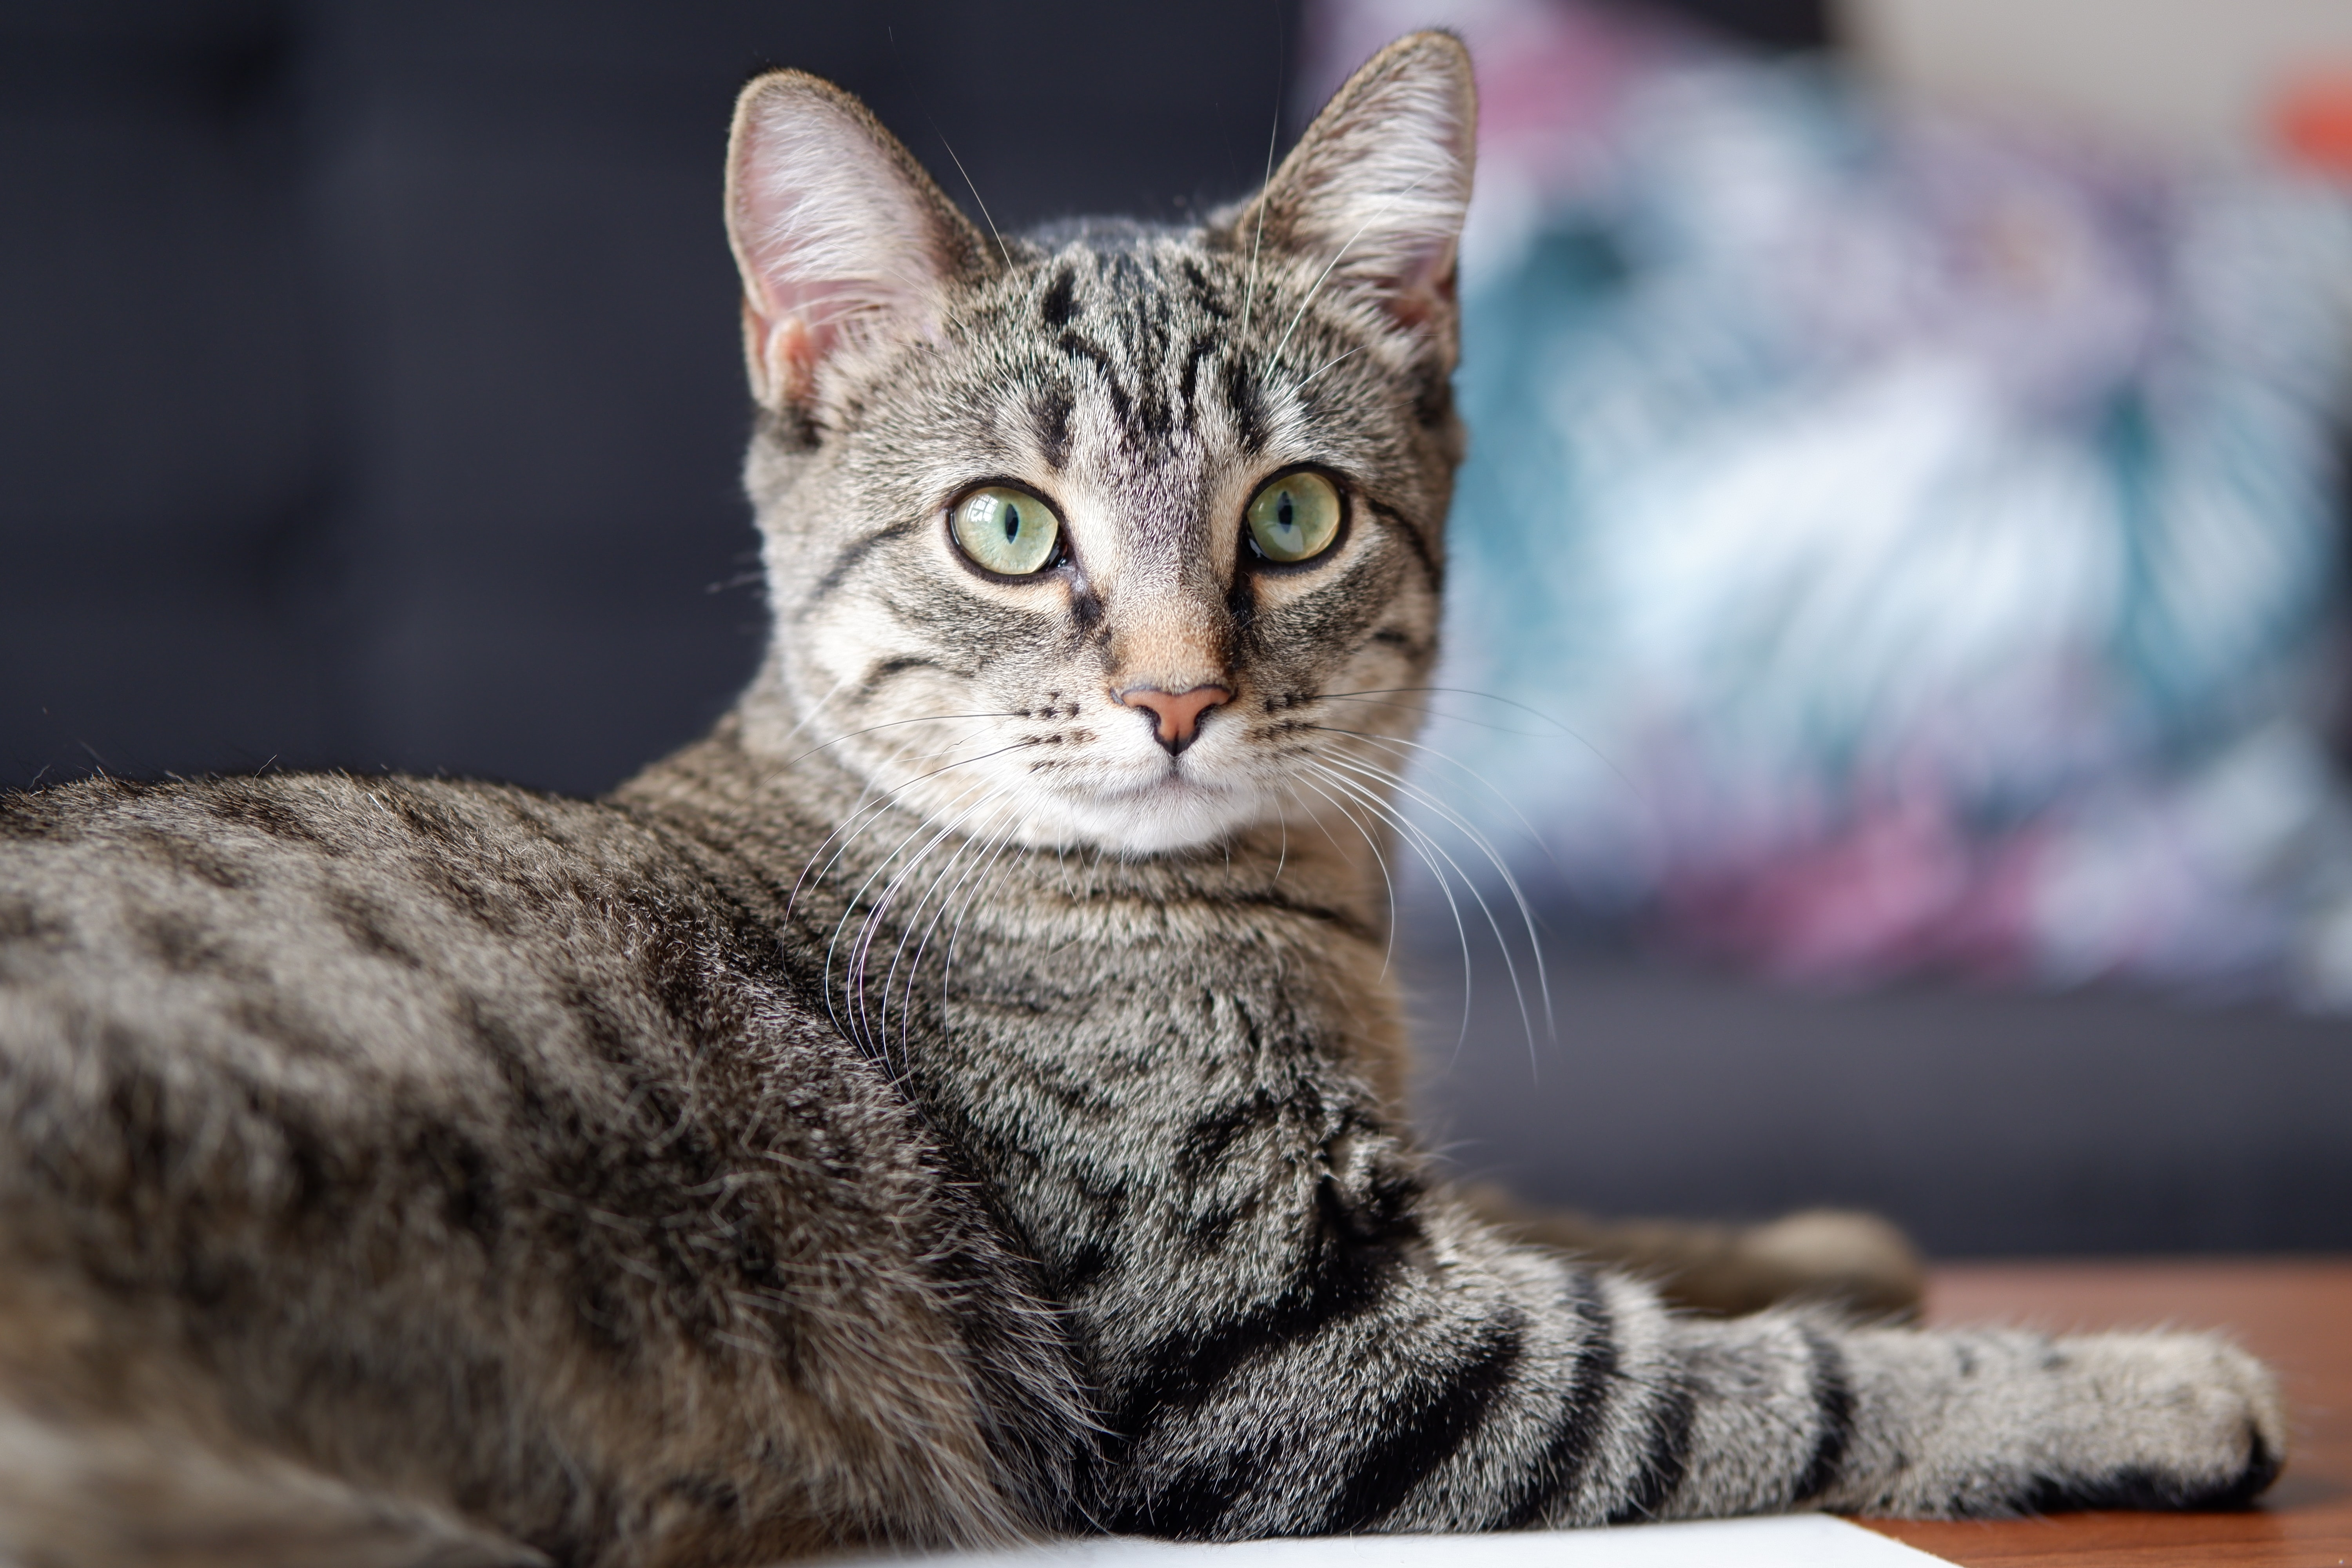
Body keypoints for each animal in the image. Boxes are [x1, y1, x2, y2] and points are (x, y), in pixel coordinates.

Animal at [0, 27, 2277, 1568]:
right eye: (1010, 529)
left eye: (1292, 516)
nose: (1179, 693)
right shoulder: (1287, 1344)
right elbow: (1745, 1380)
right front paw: (2132, 1375)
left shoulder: (1402, 1218)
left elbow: (1611, 1229)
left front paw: (1827, 1237)